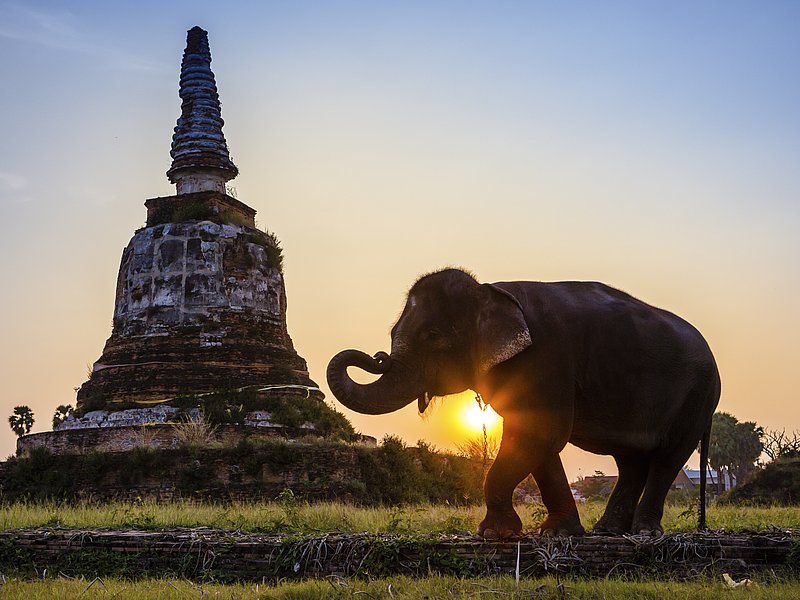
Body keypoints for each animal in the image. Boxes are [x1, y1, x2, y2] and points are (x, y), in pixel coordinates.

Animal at [327, 268, 720, 538]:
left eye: (432, 336)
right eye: (393, 333)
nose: (376, 357)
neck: (489, 291)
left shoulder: (545, 360)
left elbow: (541, 433)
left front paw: (493, 534)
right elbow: (537, 439)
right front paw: (556, 533)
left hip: (697, 397)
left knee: (668, 457)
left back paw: (642, 533)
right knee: (631, 461)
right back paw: (608, 531)